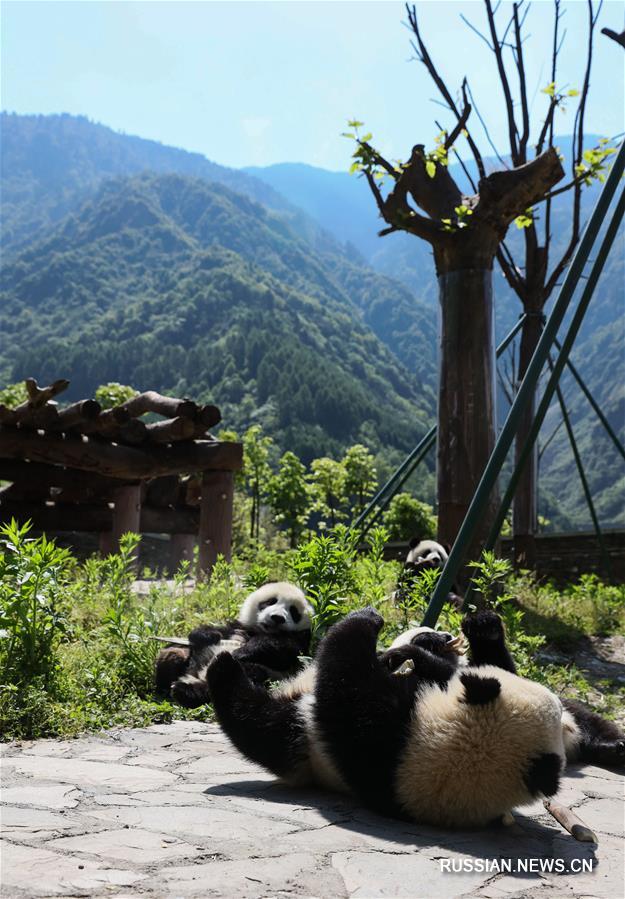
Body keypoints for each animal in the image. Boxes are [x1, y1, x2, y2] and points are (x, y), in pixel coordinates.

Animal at [154, 584, 314, 712]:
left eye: (294, 612)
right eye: (270, 602)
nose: (277, 617)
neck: (260, 630)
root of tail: (196, 677)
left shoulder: (300, 642)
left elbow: (285, 650)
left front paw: (242, 652)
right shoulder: (237, 627)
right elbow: (214, 632)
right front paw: (207, 635)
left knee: (247, 674)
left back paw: (186, 692)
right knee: (174, 654)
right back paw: (167, 687)